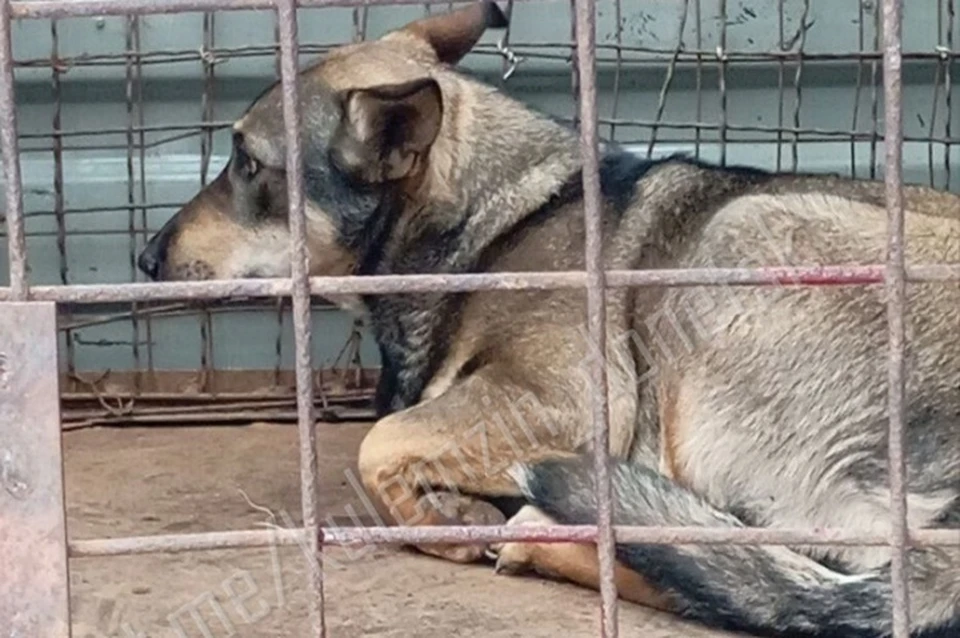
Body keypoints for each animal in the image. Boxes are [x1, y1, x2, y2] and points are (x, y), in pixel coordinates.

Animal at [135, 2, 960, 636]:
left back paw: (543, 532)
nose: (142, 257)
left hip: (742, 238)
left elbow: (380, 443)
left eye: (247, 164)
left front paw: (446, 520)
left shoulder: (565, 397)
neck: (489, 222)